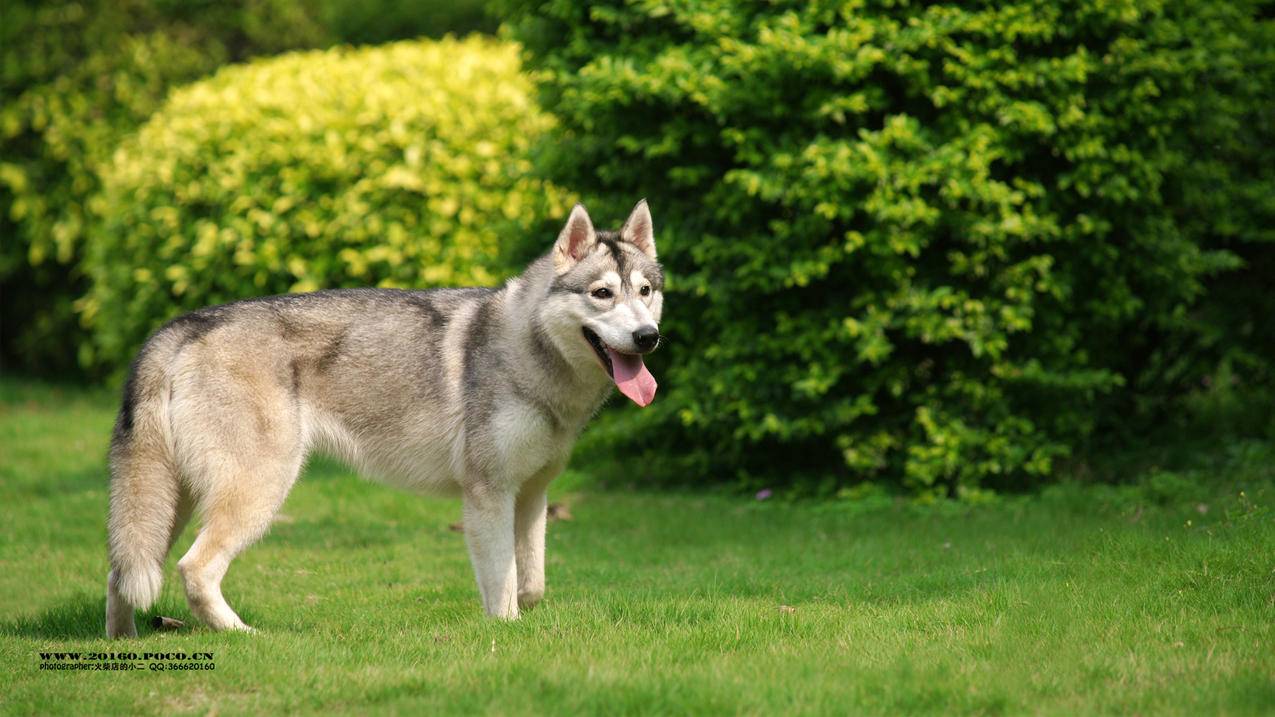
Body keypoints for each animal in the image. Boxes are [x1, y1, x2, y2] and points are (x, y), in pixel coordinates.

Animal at [107, 197, 668, 632]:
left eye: (645, 291)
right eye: (602, 294)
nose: (648, 337)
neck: (530, 352)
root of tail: (184, 325)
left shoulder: (530, 495)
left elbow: (531, 584)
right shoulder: (487, 494)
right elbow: (504, 586)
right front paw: (505, 634)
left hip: (170, 503)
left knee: (122, 574)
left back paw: (124, 645)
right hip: (255, 491)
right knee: (194, 570)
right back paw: (244, 635)